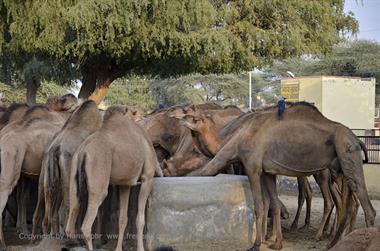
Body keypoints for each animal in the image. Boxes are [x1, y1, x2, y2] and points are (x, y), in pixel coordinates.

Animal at [64, 105, 163, 251]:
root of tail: (83, 152)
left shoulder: (125, 184)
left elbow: (122, 218)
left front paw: (119, 248)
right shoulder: (148, 177)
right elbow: (140, 220)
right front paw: (140, 248)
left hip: (73, 175)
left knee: (71, 220)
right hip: (99, 177)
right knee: (86, 226)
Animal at [184, 102, 374, 251]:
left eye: (196, 118)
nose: (184, 117)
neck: (237, 137)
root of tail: (357, 138)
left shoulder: (252, 167)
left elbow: (259, 205)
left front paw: (257, 244)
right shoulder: (268, 172)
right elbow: (274, 204)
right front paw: (277, 243)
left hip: (345, 152)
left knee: (364, 206)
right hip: (338, 168)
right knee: (348, 204)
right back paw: (334, 243)